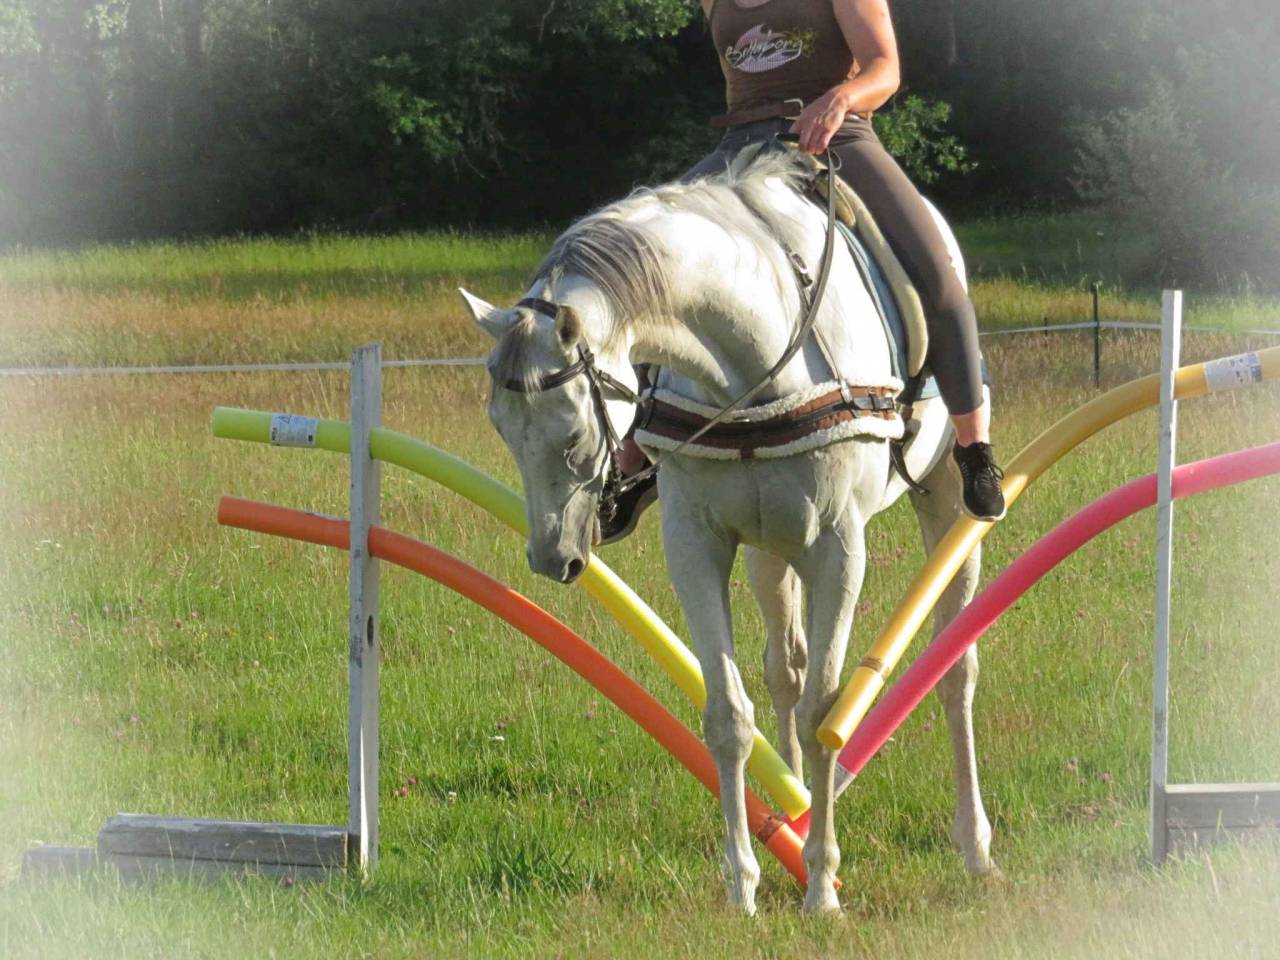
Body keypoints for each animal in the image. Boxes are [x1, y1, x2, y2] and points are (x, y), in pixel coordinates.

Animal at [460, 149, 995, 913]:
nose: (550, 557)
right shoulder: (697, 542)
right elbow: (729, 716)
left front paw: (821, 887)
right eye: (500, 428)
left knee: (955, 672)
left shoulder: (839, 546)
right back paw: (796, 810)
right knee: (785, 670)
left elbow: (827, 713)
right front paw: (743, 884)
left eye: (572, 434)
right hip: (774, 547)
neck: (754, 356)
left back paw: (973, 845)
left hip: (945, 511)